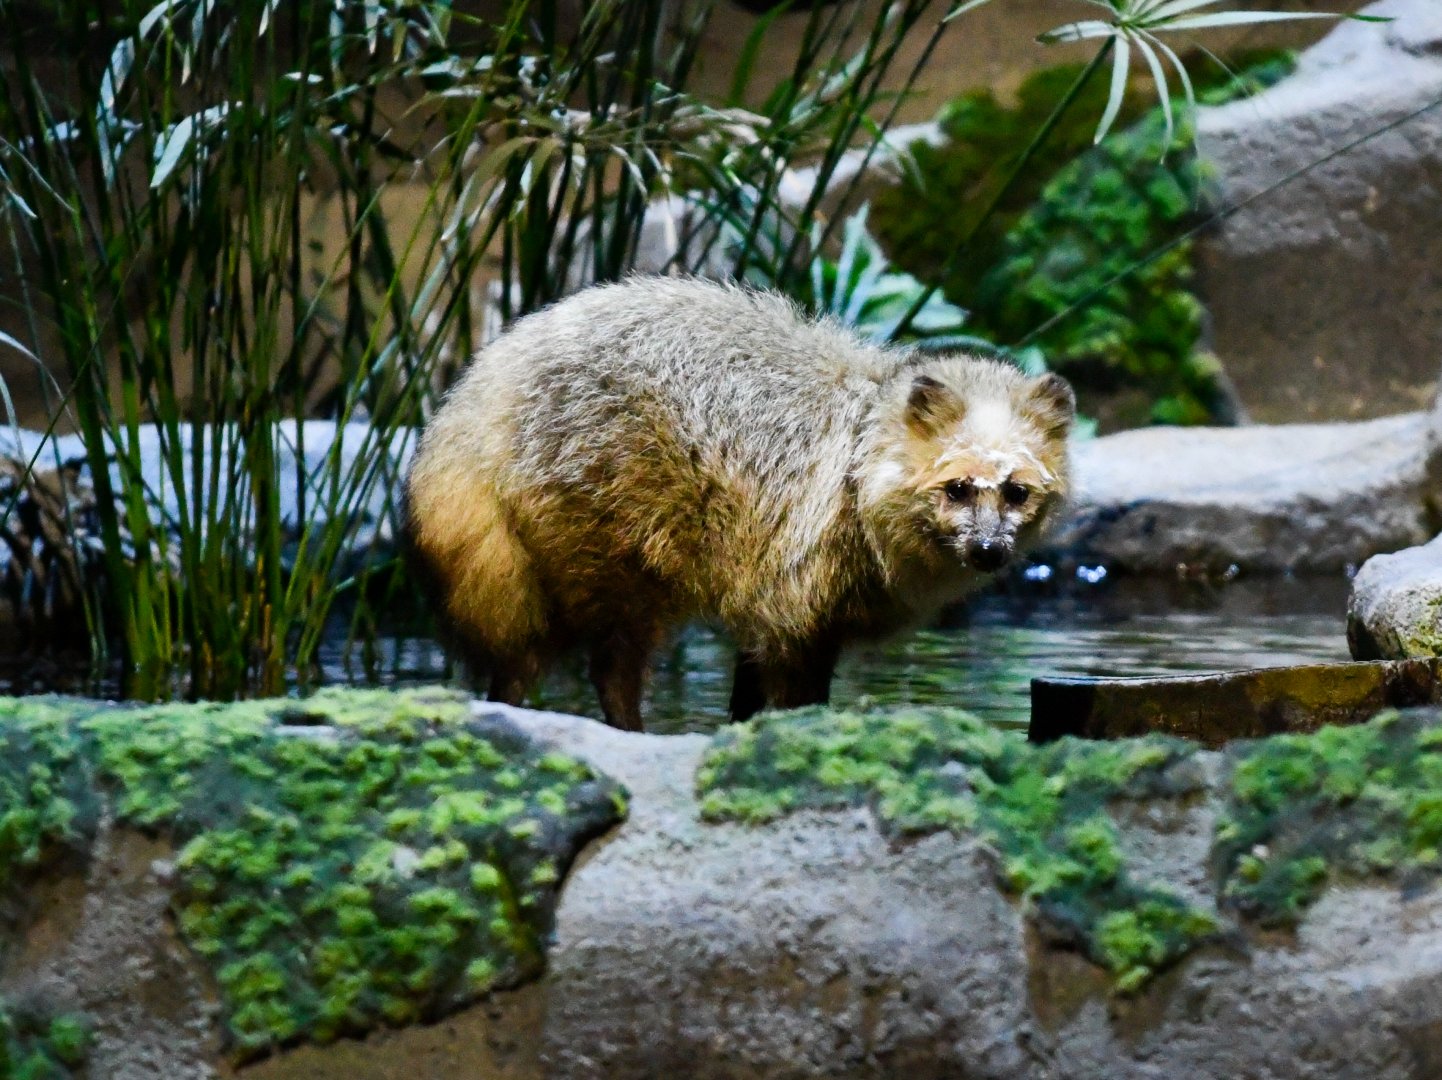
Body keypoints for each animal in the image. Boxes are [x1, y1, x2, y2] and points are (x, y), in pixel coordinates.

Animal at [404, 276, 1073, 730]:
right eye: (958, 488)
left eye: (1016, 492)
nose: (989, 550)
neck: (857, 460)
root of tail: (477, 394)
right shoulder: (795, 614)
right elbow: (798, 709)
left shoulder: (769, 608)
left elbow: (745, 709)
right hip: (607, 575)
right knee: (579, 671)